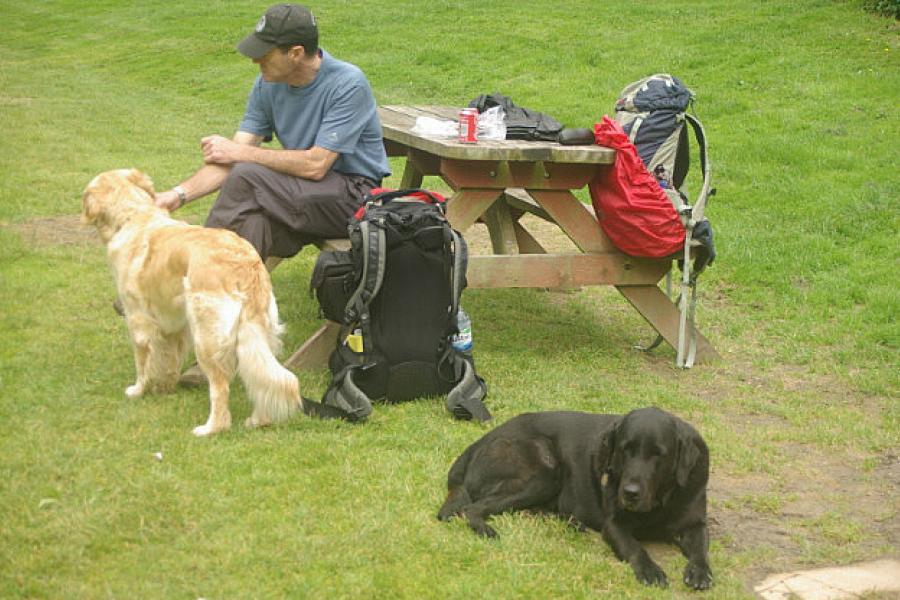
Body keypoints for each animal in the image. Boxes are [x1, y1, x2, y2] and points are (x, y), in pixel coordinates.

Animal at [81, 166, 298, 434]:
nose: (115, 307)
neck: (133, 216)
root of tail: (245, 264)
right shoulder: (173, 325)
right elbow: (169, 360)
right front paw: (165, 387)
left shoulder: (138, 321)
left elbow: (143, 363)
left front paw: (137, 390)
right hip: (257, 334)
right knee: (260, 379)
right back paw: (258, 420)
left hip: (207, 338)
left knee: (220, 388)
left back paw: (209, 428)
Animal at [440, 406, 712, 588]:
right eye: (625, 449)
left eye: (658, 454)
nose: (630, 493)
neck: (659, 501)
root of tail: (478, 442)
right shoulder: (615, 525)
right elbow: (635, 547)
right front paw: (650, 570)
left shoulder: (695, 523)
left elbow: (701, 547)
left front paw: (700, 572)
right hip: (545, 470)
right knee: (471, 509)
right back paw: (486, 529)